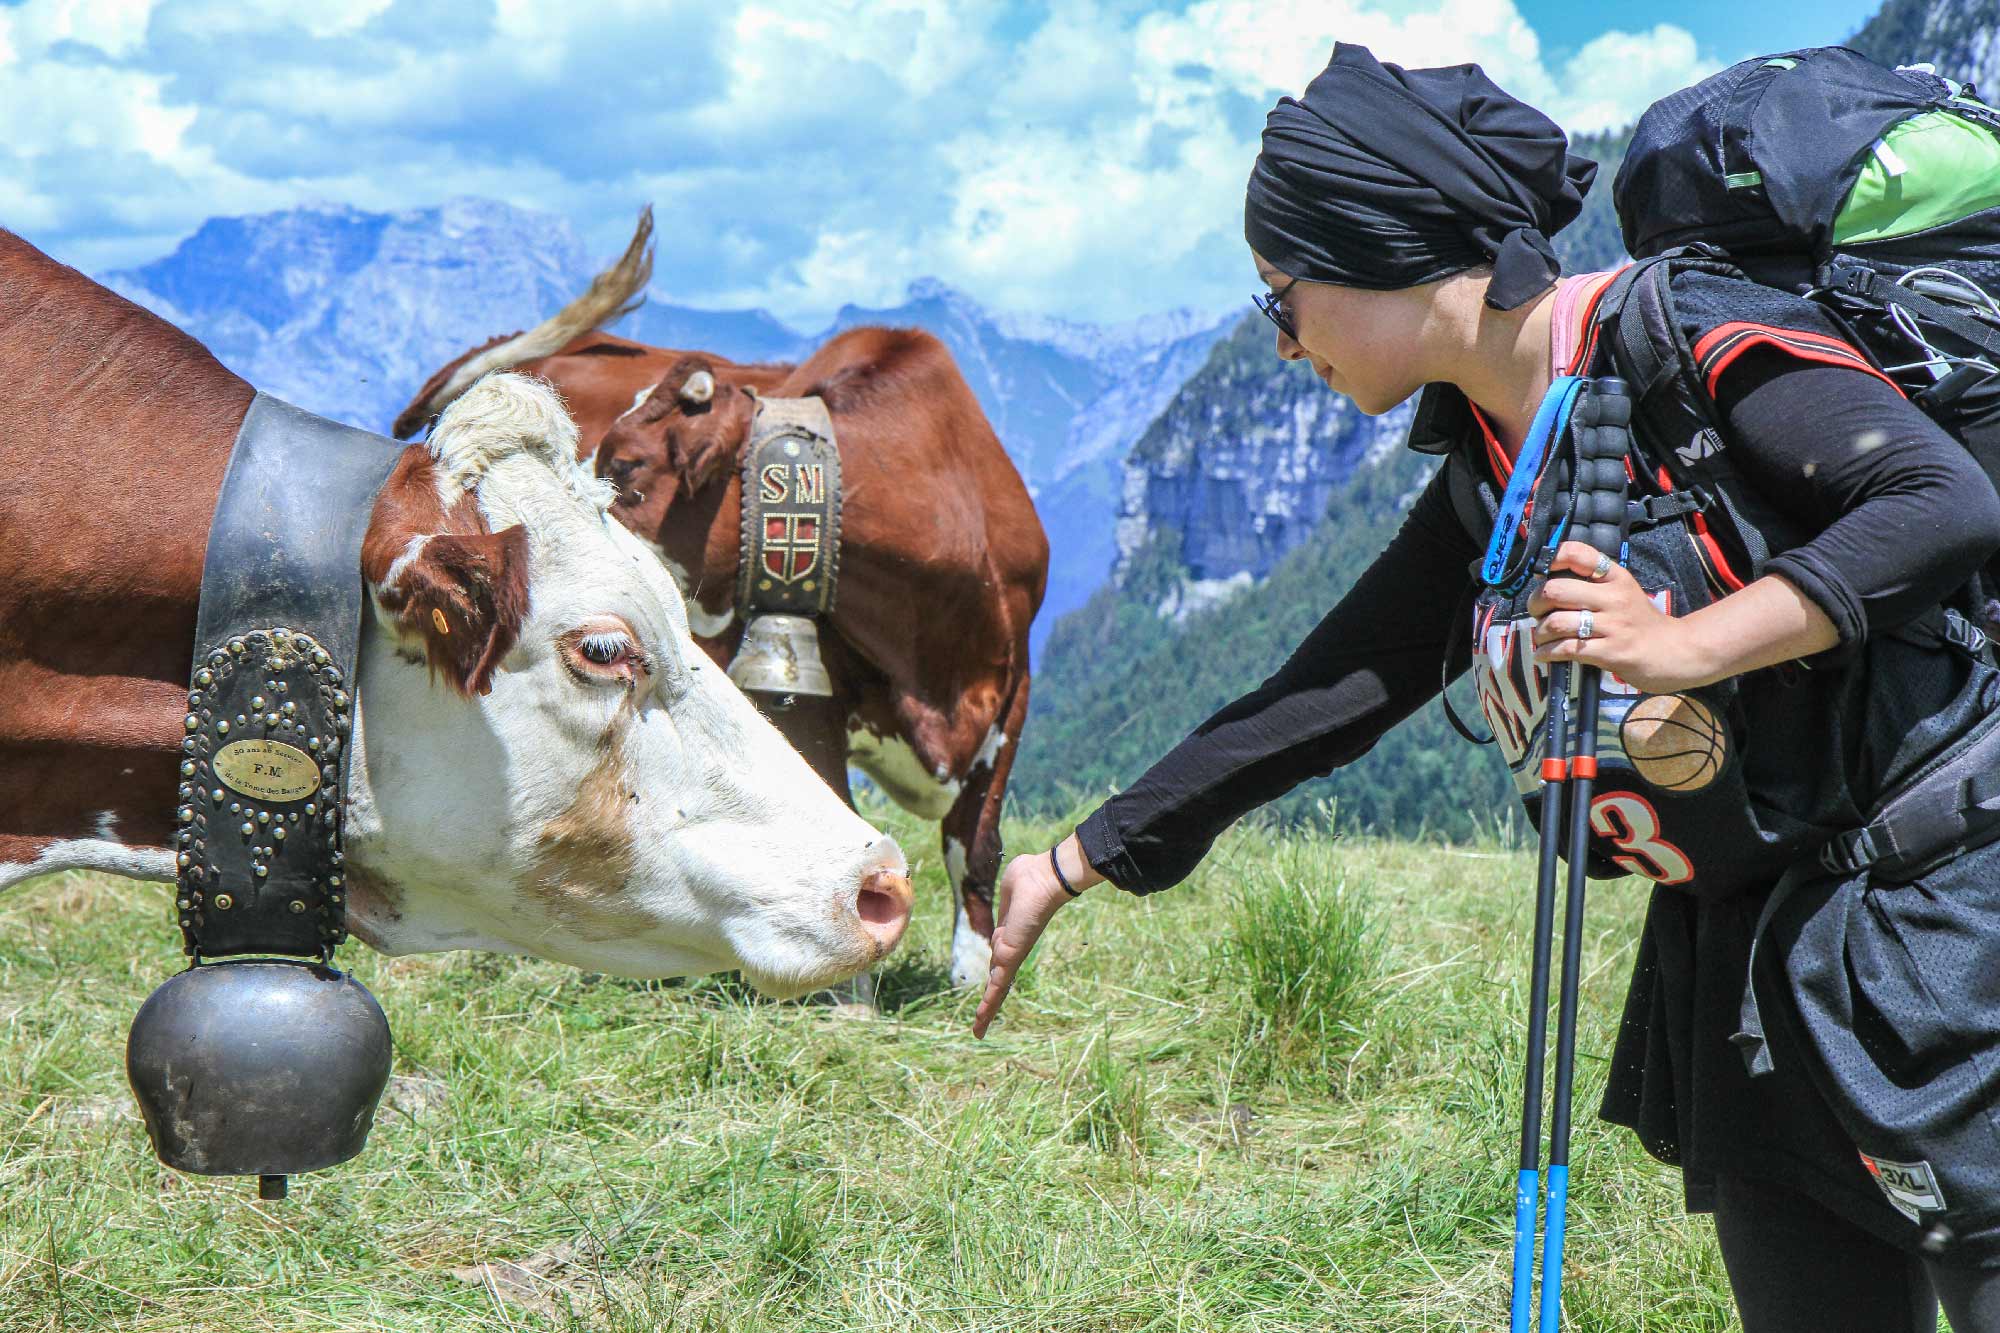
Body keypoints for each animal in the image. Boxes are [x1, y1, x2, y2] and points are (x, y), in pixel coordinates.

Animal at [390, 215, 1048, 984]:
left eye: (626, 464)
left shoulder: (1014, 682)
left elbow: (976, 844)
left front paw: (975, 974)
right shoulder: (807, 687)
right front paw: (849, 984)